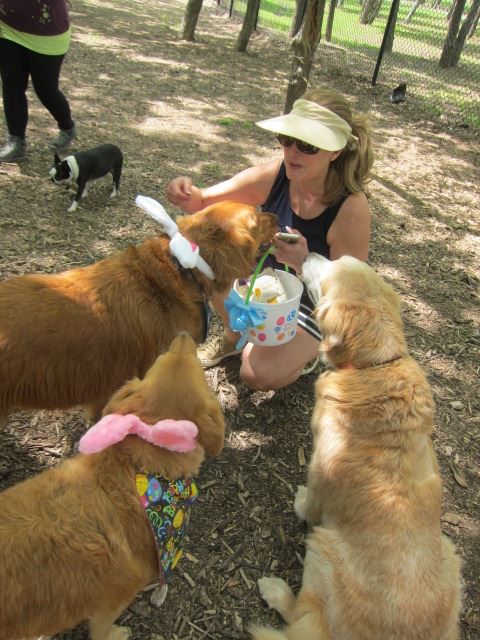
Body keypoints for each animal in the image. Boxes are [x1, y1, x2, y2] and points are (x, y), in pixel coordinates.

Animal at [0, 332, 225, 636]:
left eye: (157, 361)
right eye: (196, 369)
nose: (183, 335)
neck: (140, 473)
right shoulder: (112, 603)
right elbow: (102, 631)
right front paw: (118, 633)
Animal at [253, 255, 460, 640]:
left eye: (328, 272)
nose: (307, 254)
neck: (372, 367)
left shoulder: (320, 467)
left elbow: (312, 501)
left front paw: (300, 502)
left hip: (322, 546)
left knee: (298, 617)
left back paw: (274, 589)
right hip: (452, 554)